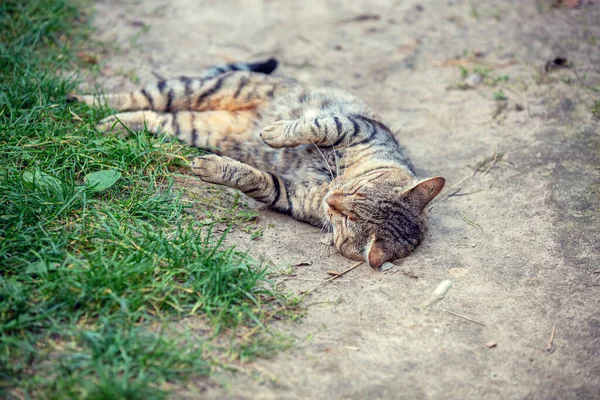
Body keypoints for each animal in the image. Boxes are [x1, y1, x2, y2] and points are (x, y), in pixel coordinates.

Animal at [70, 58, 446, 268]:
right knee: (138, 95)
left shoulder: (290, 195)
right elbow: (315, 125)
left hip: (192, 124)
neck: (329, 182)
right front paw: (275, 131)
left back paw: (110, 122)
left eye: (347, 218)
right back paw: (81, 100)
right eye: (357, 192)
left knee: (154, 116)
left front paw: (214, 168)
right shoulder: (355, 127)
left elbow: (256, 179)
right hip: (204, 87)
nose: (332, 200)